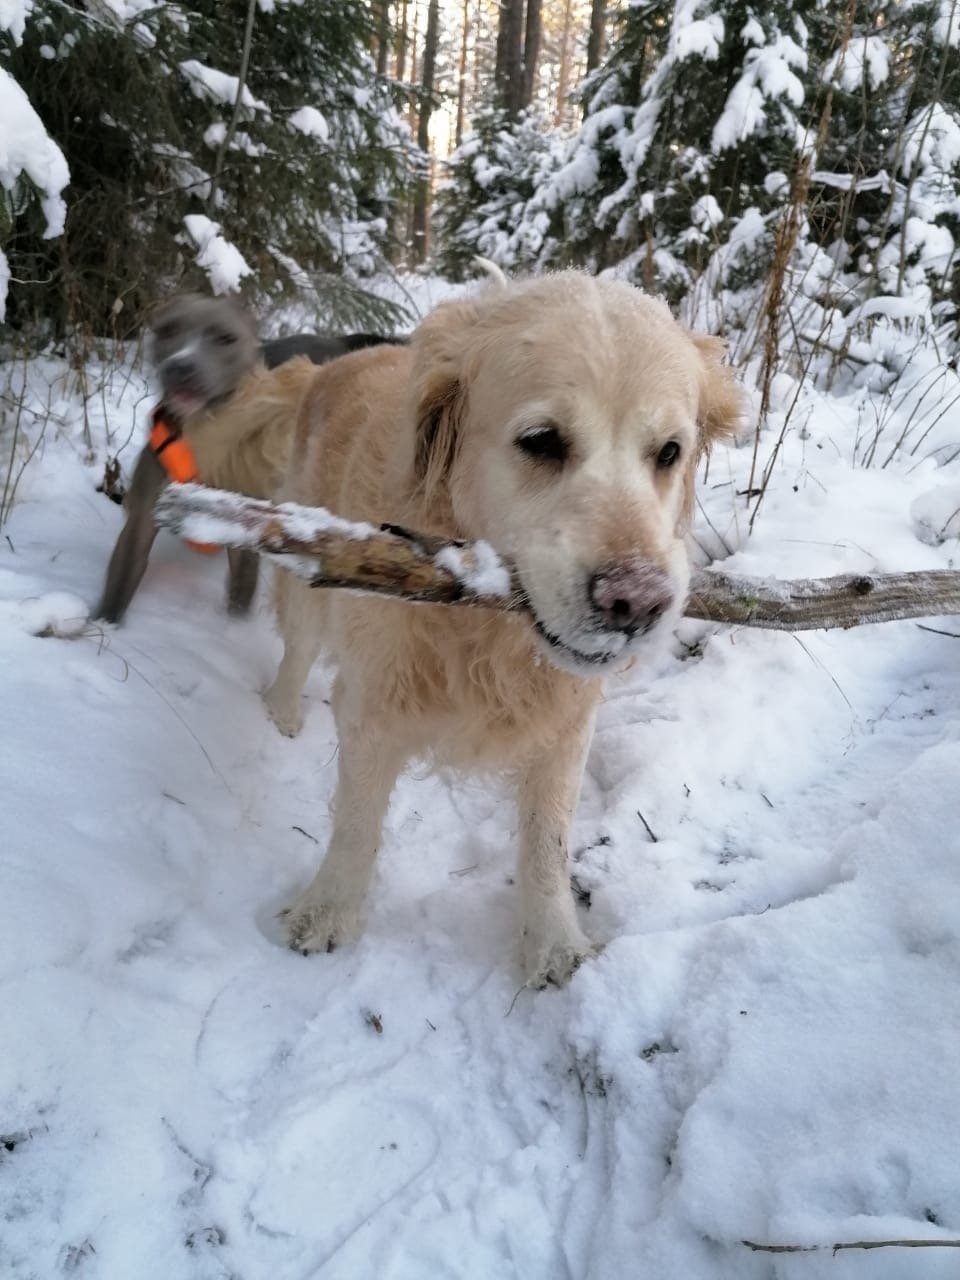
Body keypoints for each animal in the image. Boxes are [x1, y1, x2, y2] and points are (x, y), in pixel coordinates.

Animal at [263, 272, 742, 988]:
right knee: (296, 647)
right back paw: (284, 714)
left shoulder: (567, 727)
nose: (637, 604)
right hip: (310, 578)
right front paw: (327, 912)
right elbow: (355, 820)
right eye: (541, 440)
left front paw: (553, 944)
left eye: (669, 453)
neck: (486, 629)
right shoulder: (375, 704)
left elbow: (548, 842)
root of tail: (334, 362)